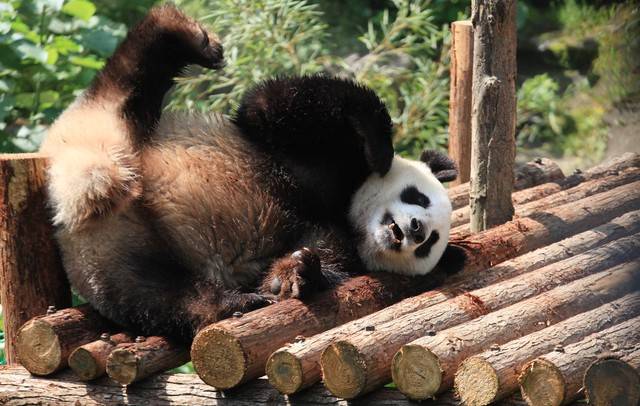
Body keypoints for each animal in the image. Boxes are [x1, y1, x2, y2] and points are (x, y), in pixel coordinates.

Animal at [40, 6, 462, 342]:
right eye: (417, 196)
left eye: (429, 243)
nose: (414, 229)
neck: (346, 208)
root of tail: (82, 195)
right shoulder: (308, 149)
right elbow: (277, 105)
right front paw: (379, 149)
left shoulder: (338, 243)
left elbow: (314, 263)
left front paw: (295, 273)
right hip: (114, 129)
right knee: (131, 76)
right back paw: (191, 37)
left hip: (112, 257)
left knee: (156, 294)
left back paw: (234, 303)